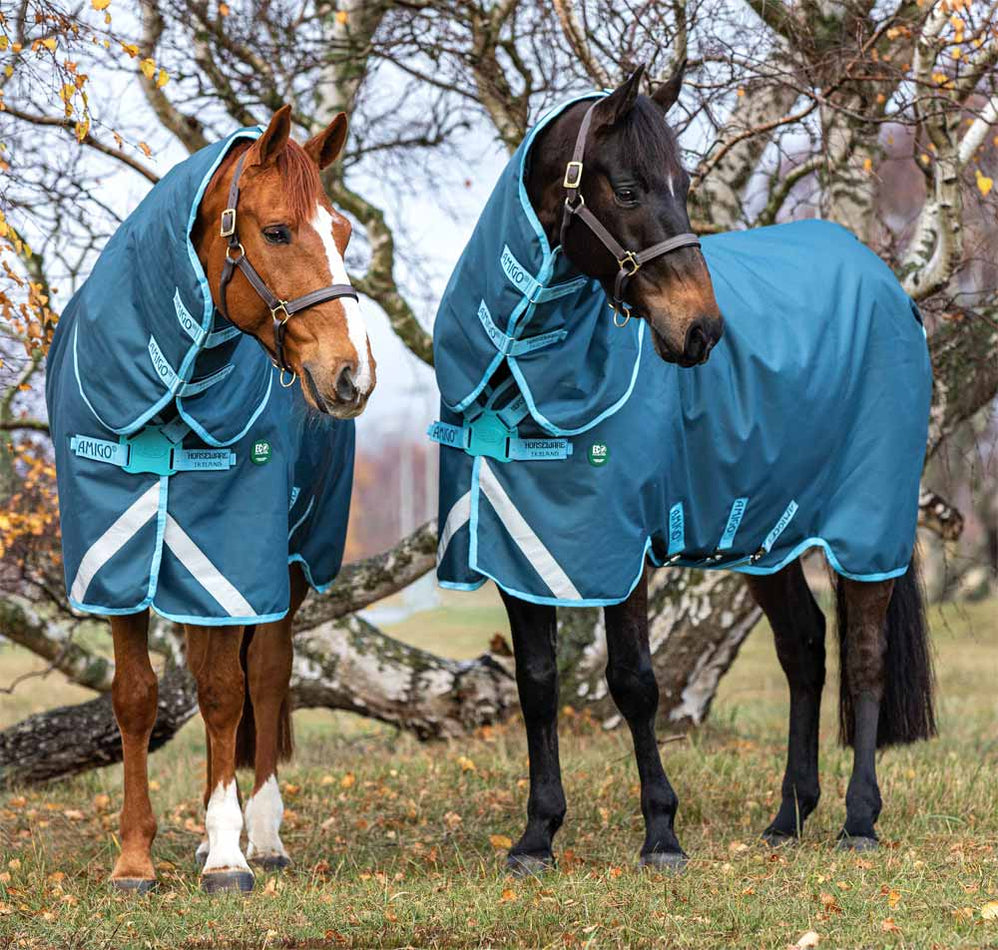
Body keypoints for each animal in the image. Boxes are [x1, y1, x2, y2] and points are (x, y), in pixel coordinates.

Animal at [44, 106, 375, 893]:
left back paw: (263, 834)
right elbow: (137, 697)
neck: (166, 398)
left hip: (287, 561)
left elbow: (228, 693)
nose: (353, 374)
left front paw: (228, 855)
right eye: (278, 231)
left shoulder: (228, 551)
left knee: (266, 676)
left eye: (343, 232)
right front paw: (134, 858)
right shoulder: (119, 556)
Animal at [430, 64, 935, 873]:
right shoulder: (516, 549)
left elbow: (634, 682)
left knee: (864, 657)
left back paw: (859, 820)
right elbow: (536, 684)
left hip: (867, 529)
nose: (701, 331)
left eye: (686, 185)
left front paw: (661, 833)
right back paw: (789, 816)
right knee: (804, 649)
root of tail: (893, 291)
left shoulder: (621, 547)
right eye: (629, 188)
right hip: (767, 537)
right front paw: (537, 835)